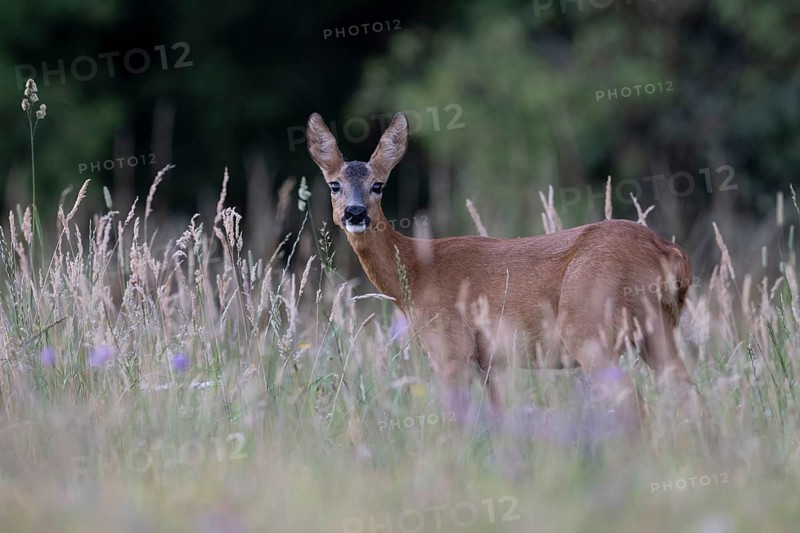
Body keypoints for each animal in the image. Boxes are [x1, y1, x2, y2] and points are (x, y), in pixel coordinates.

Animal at [306, 111, 703, 435]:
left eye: (378, 185)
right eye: (334, 184)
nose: (355, 213)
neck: (416, 273)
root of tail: (668, 250)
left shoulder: (452, 348)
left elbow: (454, 422)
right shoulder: (487, 362)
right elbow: (498, 419)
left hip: (589, 328)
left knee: (636, 406)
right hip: (657, 329)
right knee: (687, 395)